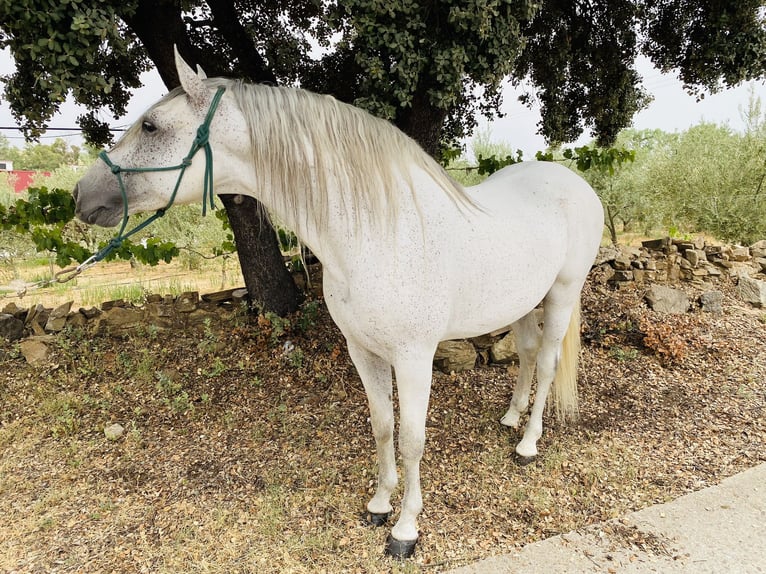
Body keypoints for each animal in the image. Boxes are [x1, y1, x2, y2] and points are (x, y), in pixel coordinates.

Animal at [73, 53, 608, 560]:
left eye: (151, 126)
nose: (81, 194)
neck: (376, 232)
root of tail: (573, 182)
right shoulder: (362, 350)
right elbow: (382, 426)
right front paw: (379, 505)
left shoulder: (415, 358)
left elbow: (412, 441)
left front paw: (406, 530)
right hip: (521, 303)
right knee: (526, 354)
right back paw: (511, 419)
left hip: (562, 295)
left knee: (546, 363)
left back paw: (528, 443)